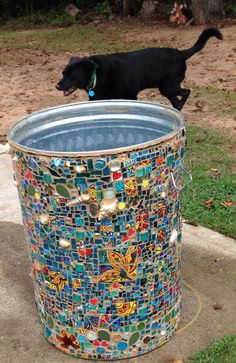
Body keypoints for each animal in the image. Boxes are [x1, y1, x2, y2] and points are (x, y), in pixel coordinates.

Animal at [56, 28, 222, 110]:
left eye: (71, 76)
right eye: (63, 73)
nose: (57, 86)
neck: (96, 74)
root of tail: (180, 53)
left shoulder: (131, 96)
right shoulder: (97, 99)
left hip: (168, 86)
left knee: (187, 92)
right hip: (166, 88)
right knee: (177, 100)